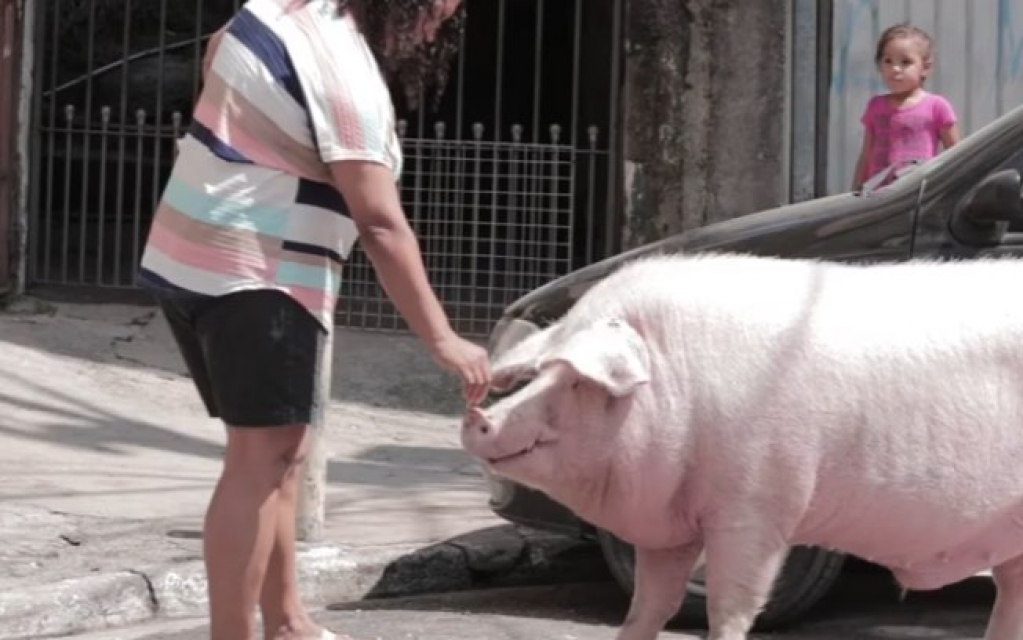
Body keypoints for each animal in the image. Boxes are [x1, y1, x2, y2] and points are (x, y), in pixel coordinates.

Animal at [464, 251, 1023, 637]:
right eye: (542, 374)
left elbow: (731, 607)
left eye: (579, 382)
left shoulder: (758, 505)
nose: (479, 417)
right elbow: (649, 607)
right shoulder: (667, 532)